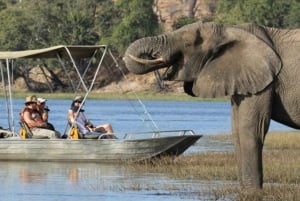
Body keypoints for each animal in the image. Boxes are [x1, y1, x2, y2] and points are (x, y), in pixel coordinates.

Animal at [123, 21, 300, 189]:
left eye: (188, 43)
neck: (230, 30)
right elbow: (236, 130)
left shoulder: (264, 80)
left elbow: (250, 129)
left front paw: (253, 191)